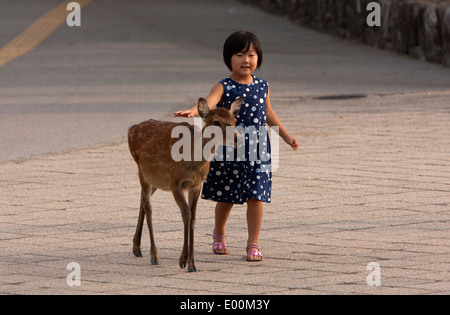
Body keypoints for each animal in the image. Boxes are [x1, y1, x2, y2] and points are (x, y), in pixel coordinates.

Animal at [128, 97, 244, 272]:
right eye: (216, 122)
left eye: (234, 120)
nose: (239, 139)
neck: (193, 161)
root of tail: (131, 129)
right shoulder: (176, 183)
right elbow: (186, 215)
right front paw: (183, 260)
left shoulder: (196, 185)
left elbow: (194, 218)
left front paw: (192, 263)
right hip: (143, 173)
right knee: (148, 207)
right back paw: (154, 255)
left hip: (156, 180)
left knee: (142, 201)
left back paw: (137, 247)